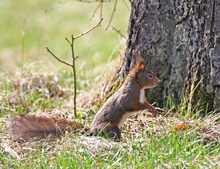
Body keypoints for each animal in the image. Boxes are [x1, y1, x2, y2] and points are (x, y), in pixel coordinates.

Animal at [7, 50, 160, 141]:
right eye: (150, 75)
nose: (159, 81)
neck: (139, 87)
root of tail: (91, 131)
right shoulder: (128, 96)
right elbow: (132, 105)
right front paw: (150, 108)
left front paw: (153, 109)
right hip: (111, 127)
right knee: (112, 135)